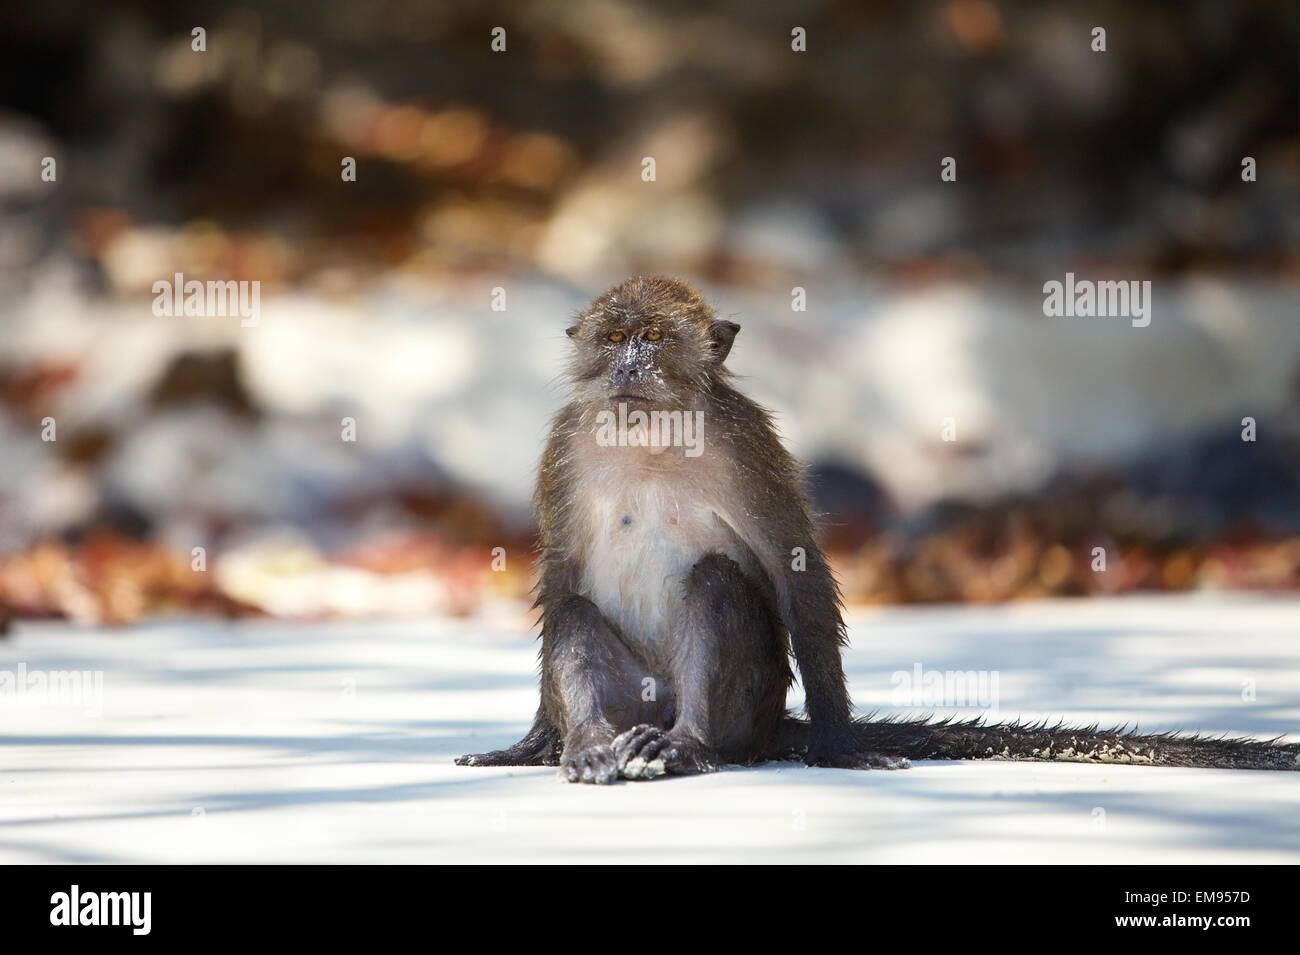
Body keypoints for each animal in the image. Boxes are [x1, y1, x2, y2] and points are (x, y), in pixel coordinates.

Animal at [457, 276, 1300, 784]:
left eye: (656, 340)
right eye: (613, 338)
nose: (629, 365)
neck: (650, 432)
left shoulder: (743, 439)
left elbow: (791, 564)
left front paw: (838, 742)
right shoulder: (566, 445)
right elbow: (562, 574)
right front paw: (535, 741)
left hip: (748, 707)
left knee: (716, 584)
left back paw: (690, 743)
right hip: (638, 695)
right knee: (575, 613)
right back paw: (592, 745)